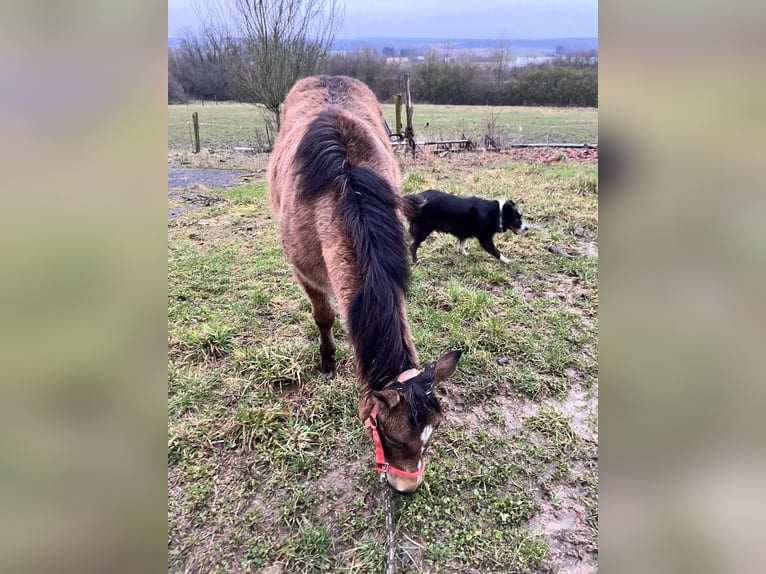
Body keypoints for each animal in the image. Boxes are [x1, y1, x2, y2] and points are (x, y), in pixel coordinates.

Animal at [268, 75, 462, 493]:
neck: (346, 188)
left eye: (433, 434)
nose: (406, 488)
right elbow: (323, 316)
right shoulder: (304, 273)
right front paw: (327, 360)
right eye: (391, 437)